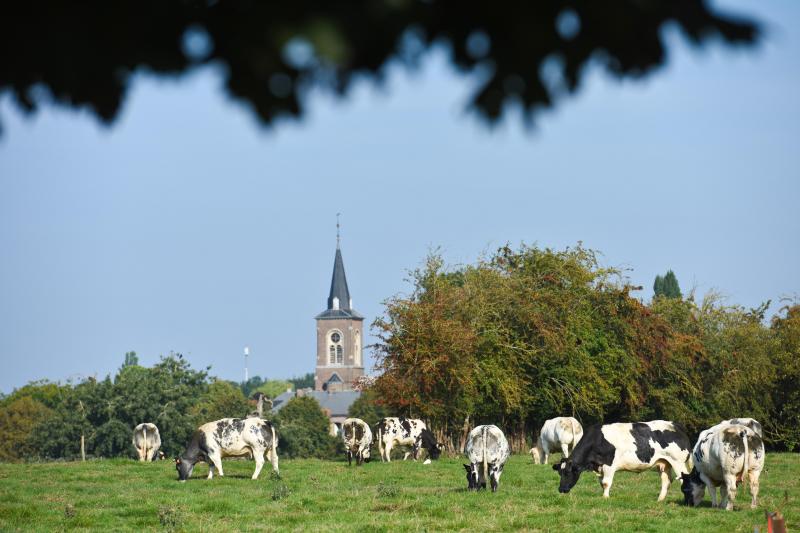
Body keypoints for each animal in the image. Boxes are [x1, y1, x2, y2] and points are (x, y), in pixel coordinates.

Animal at [552, 418, 692, 500]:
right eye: (559, 472)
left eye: (568, 472)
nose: (561, 490)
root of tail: (674, 424)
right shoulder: (600, 466)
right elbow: (601, 483)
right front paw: (604, 495)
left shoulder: (609, 464)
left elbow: (606, 482)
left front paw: (605, 498)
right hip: (664, 463)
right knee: (666, 481)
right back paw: (660, 500)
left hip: (678, 462)